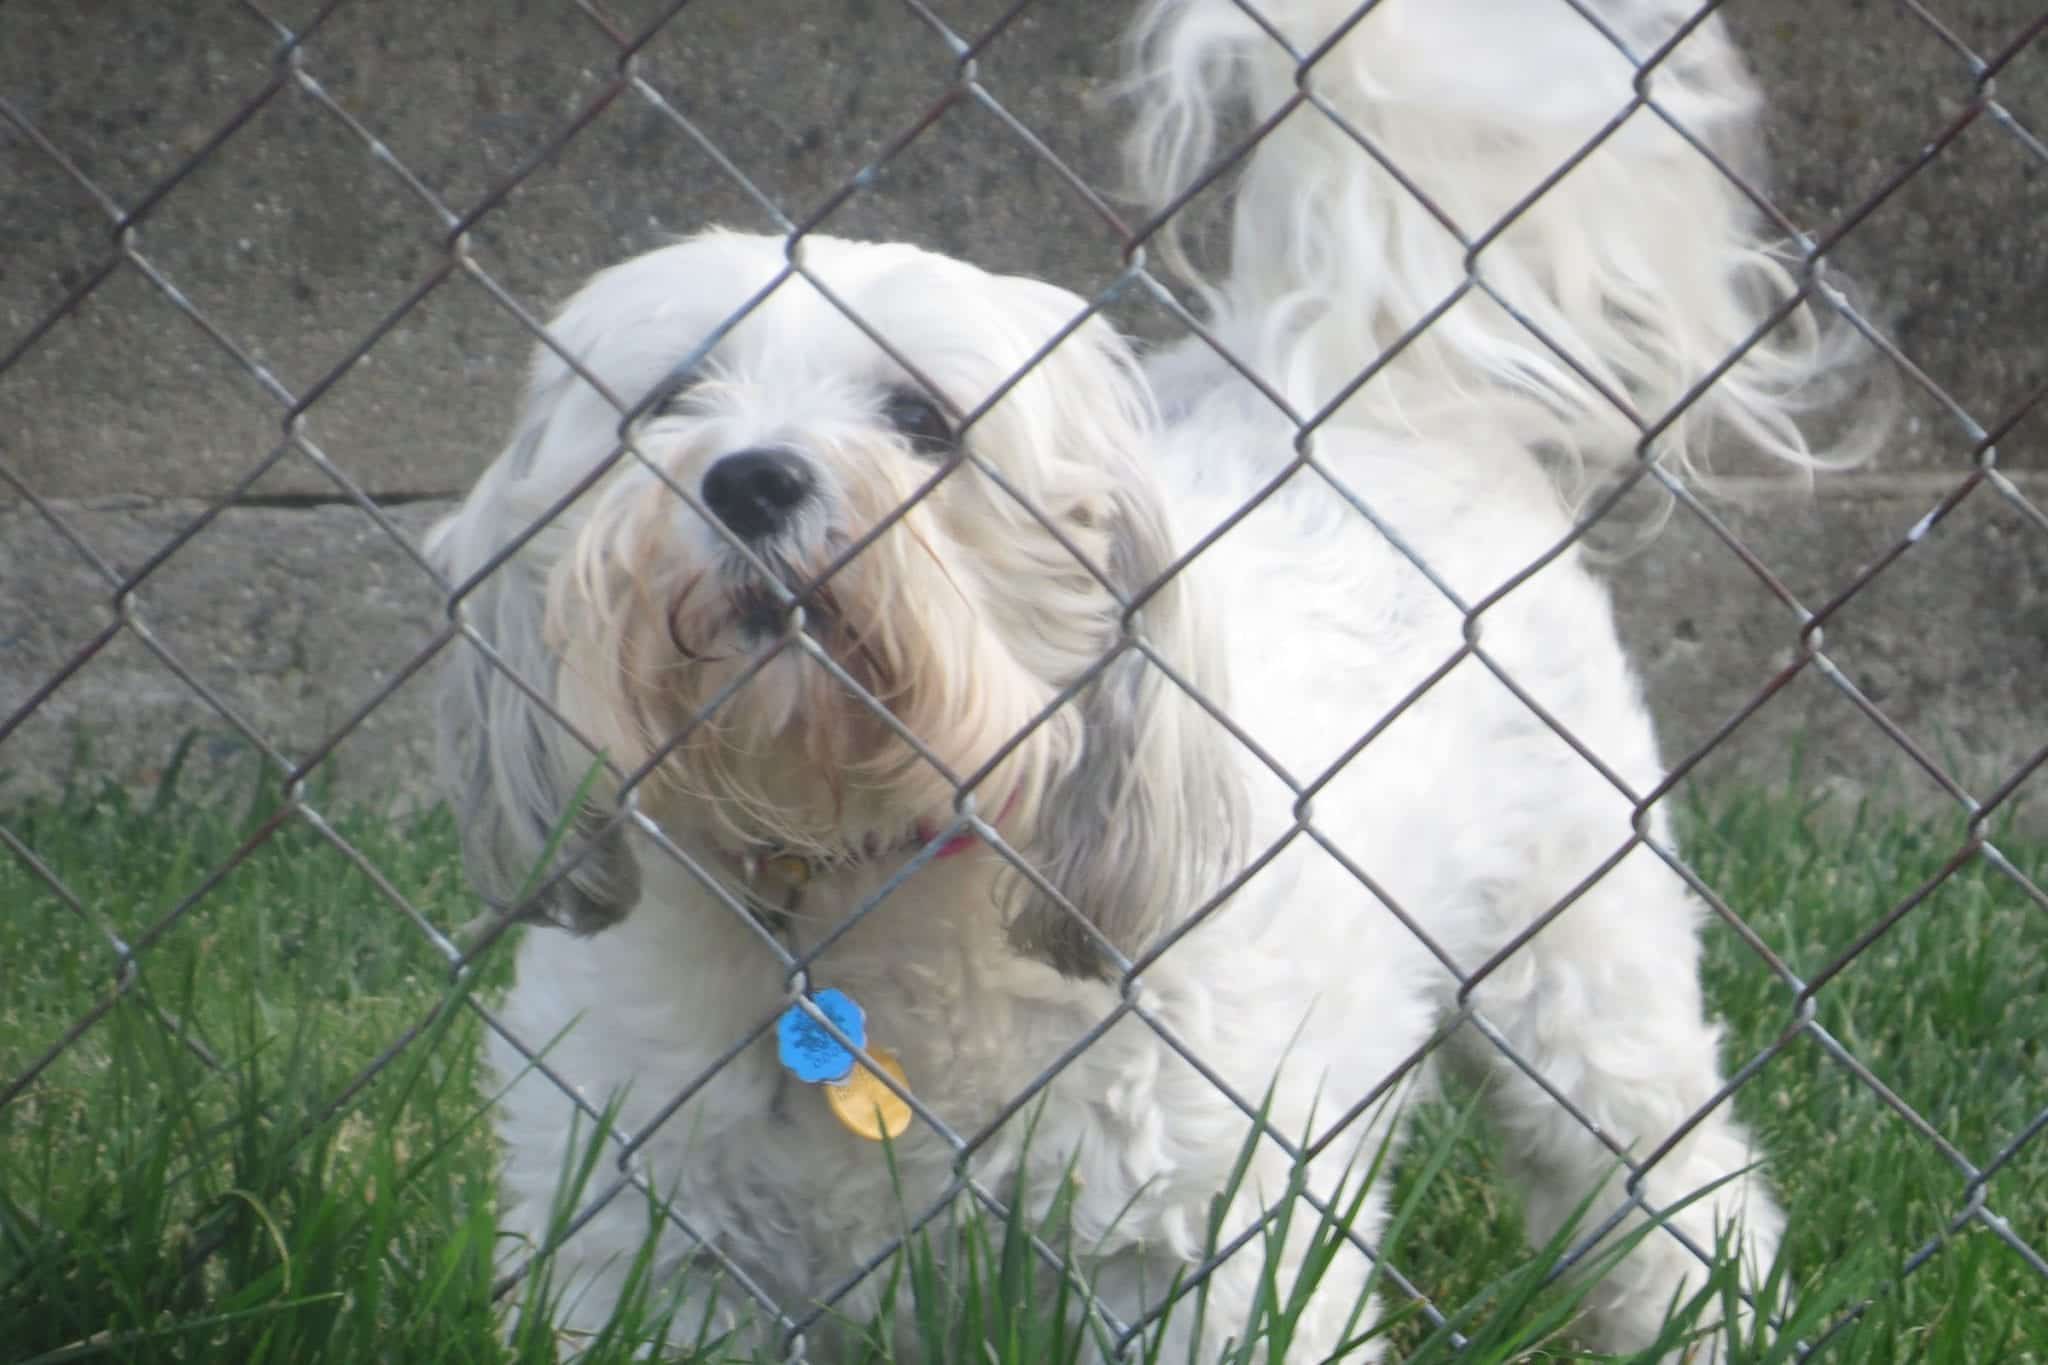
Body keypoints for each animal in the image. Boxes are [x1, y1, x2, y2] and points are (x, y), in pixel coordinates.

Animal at [432, 0, 1859, 1358]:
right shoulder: (645, 1247)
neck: (852, 880)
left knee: (1673, 1192)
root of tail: (1355, 388)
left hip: (1581, 966)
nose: (748, 478)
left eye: (921, 421)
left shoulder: (1196, 1253)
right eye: (669, 402)